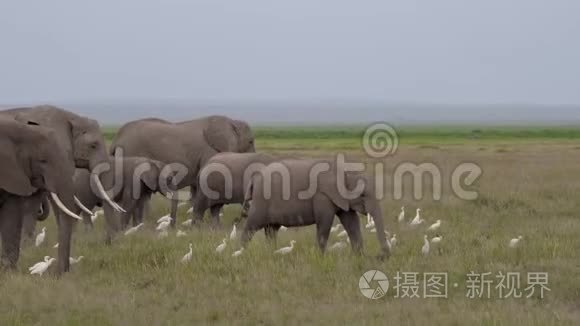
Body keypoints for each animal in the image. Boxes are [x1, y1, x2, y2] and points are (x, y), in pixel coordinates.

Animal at [240, 159, 390, 260]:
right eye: (363, 195)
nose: (381, 256)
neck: (344, 172)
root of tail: (254, 178)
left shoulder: (340, 198)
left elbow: (351, 222)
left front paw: (358, 258)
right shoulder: (322, 196)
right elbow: (325, 223)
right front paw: (321, 259)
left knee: (271, 230)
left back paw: (272, 254)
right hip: (261, 201)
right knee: (251, 227)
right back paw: (242, 253)